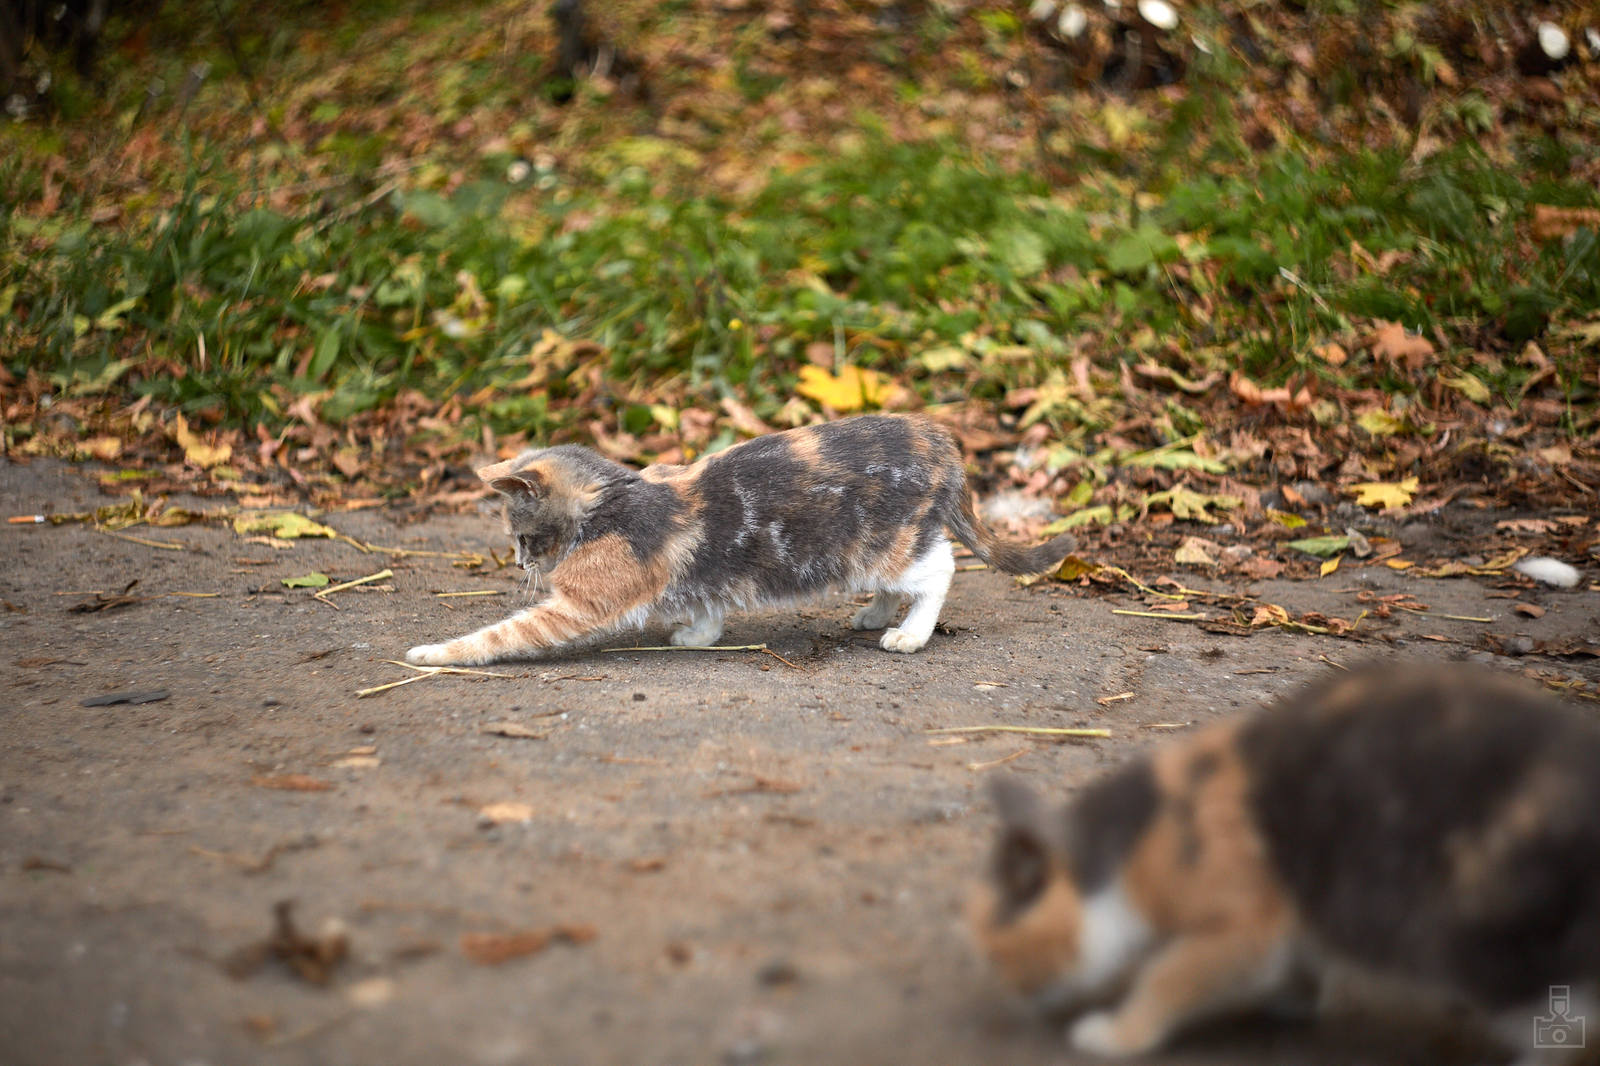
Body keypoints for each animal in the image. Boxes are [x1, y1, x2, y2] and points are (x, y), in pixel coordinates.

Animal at [403, 412, 1075, 665]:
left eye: (521, 536)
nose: (520, 566)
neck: (612, 498)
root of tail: (937, 437)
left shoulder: (581, 602)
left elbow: (500, 635)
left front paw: (433, 654)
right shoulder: (702, 574)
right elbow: (707, 602)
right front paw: (697, 637)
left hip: (876, 545)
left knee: (939, 569)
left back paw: (909, 632)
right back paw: (876, 613)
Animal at [966, 659, 1600, 1056]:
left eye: (998, 952)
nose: (1012, 997)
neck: (1135, 841)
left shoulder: (1244, 922)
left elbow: (1170, 975)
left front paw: (1116, 1033)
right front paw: (1295, 997)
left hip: (1493, 943)